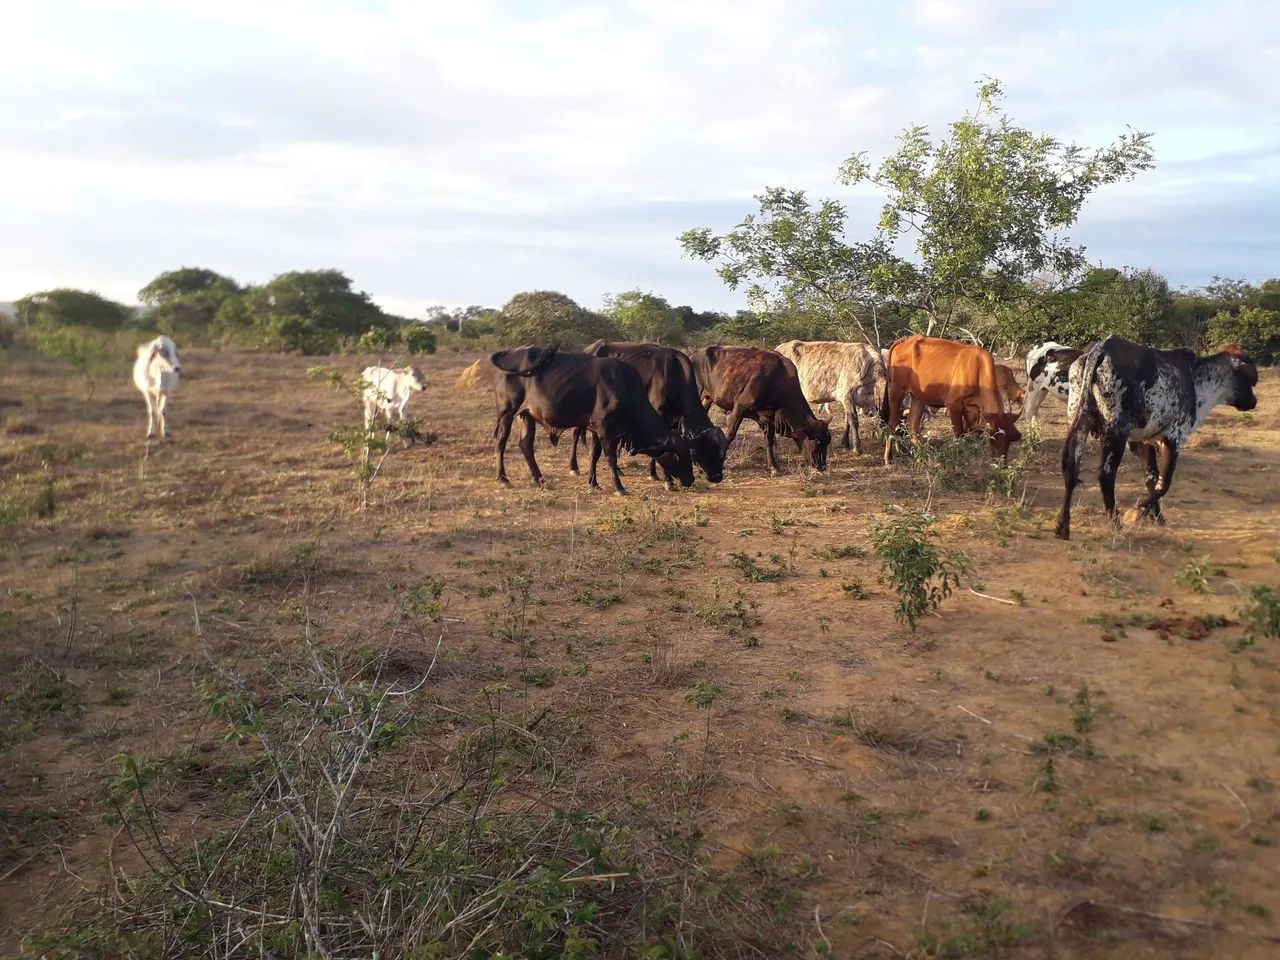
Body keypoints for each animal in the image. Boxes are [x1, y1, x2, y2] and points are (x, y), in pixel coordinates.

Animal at [488, 346, 694, 496]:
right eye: (680, 455)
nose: (690, 479)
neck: (623, 384)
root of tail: (509, 352)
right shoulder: (604, 427)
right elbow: (610, 457)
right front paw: (619, 487)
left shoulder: (596, 429)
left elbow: (594, 454)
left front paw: (593, 483)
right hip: (507, 412)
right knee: (501, 441)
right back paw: (503, 478)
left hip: (527, 415)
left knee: (525, 445)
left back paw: (539, 479)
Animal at [566, 340, 728, 487]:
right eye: (709, 449)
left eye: (723, 454)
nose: (717, 477)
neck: (676, 374)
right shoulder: (658, 414)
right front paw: (660, 476)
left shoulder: (673, 420)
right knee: (577, 434)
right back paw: (574, 467)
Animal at [689, 345, 831, 473]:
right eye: (817, 441)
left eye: (828, 442)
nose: (822, 466)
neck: (777, 379)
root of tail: (694, 356)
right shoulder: (739, 409)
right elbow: (729, 435)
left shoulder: (768, 417)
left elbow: (769, 440)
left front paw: (774, 466)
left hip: (707, 399)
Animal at [882, 334, 1022, 464]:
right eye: (993, 437)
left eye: (1012, 438)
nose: (1002, 462)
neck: (979, 371)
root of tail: (906, 340)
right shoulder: (953, 404)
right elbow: (959, 434)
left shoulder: (972, 410)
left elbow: (970, 433)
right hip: (896, 391)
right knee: (892, 423)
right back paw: (889, 458)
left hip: (918, 397)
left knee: (912, 425)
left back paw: (924, 457)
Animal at [1054, 337, 1258, 540]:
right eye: (1248, 380)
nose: (1254, 401)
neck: (1196, 379)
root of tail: (1102, 347)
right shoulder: (1173, 439)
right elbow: (1163, 485)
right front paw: (1135, 513)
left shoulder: (1145, 442)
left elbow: (1151, 480)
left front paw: (1158, 519)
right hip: (1116, 434)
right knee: (1105, 475)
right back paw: (1116, 524)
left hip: (1080, 421)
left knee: (1071, 471)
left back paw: (1062, 526)